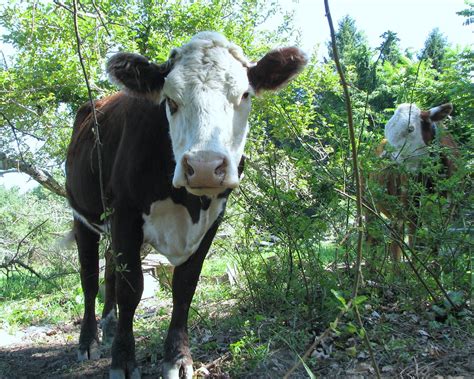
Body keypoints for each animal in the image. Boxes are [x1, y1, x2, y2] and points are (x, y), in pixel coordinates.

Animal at [65, 32, 308, 379]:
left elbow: (185, 286)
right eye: (170, 100)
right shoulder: (125, 212)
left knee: (110, 264)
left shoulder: (212, 219)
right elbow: (131, 288)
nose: (205, 166)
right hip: (83, 212)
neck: (186, 202)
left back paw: (110, 326)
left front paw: (177, 358)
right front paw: (123, 360)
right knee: (88, 276)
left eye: (244, 95)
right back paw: (89, 341)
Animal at [366, 104, 460, 262]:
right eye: (387, 130)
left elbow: (434, 245)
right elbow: (416, 245)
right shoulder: (411, 210)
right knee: (373, 237)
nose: (385, 157)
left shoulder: (448, 209)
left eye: (410, 128)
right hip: (369, 203)